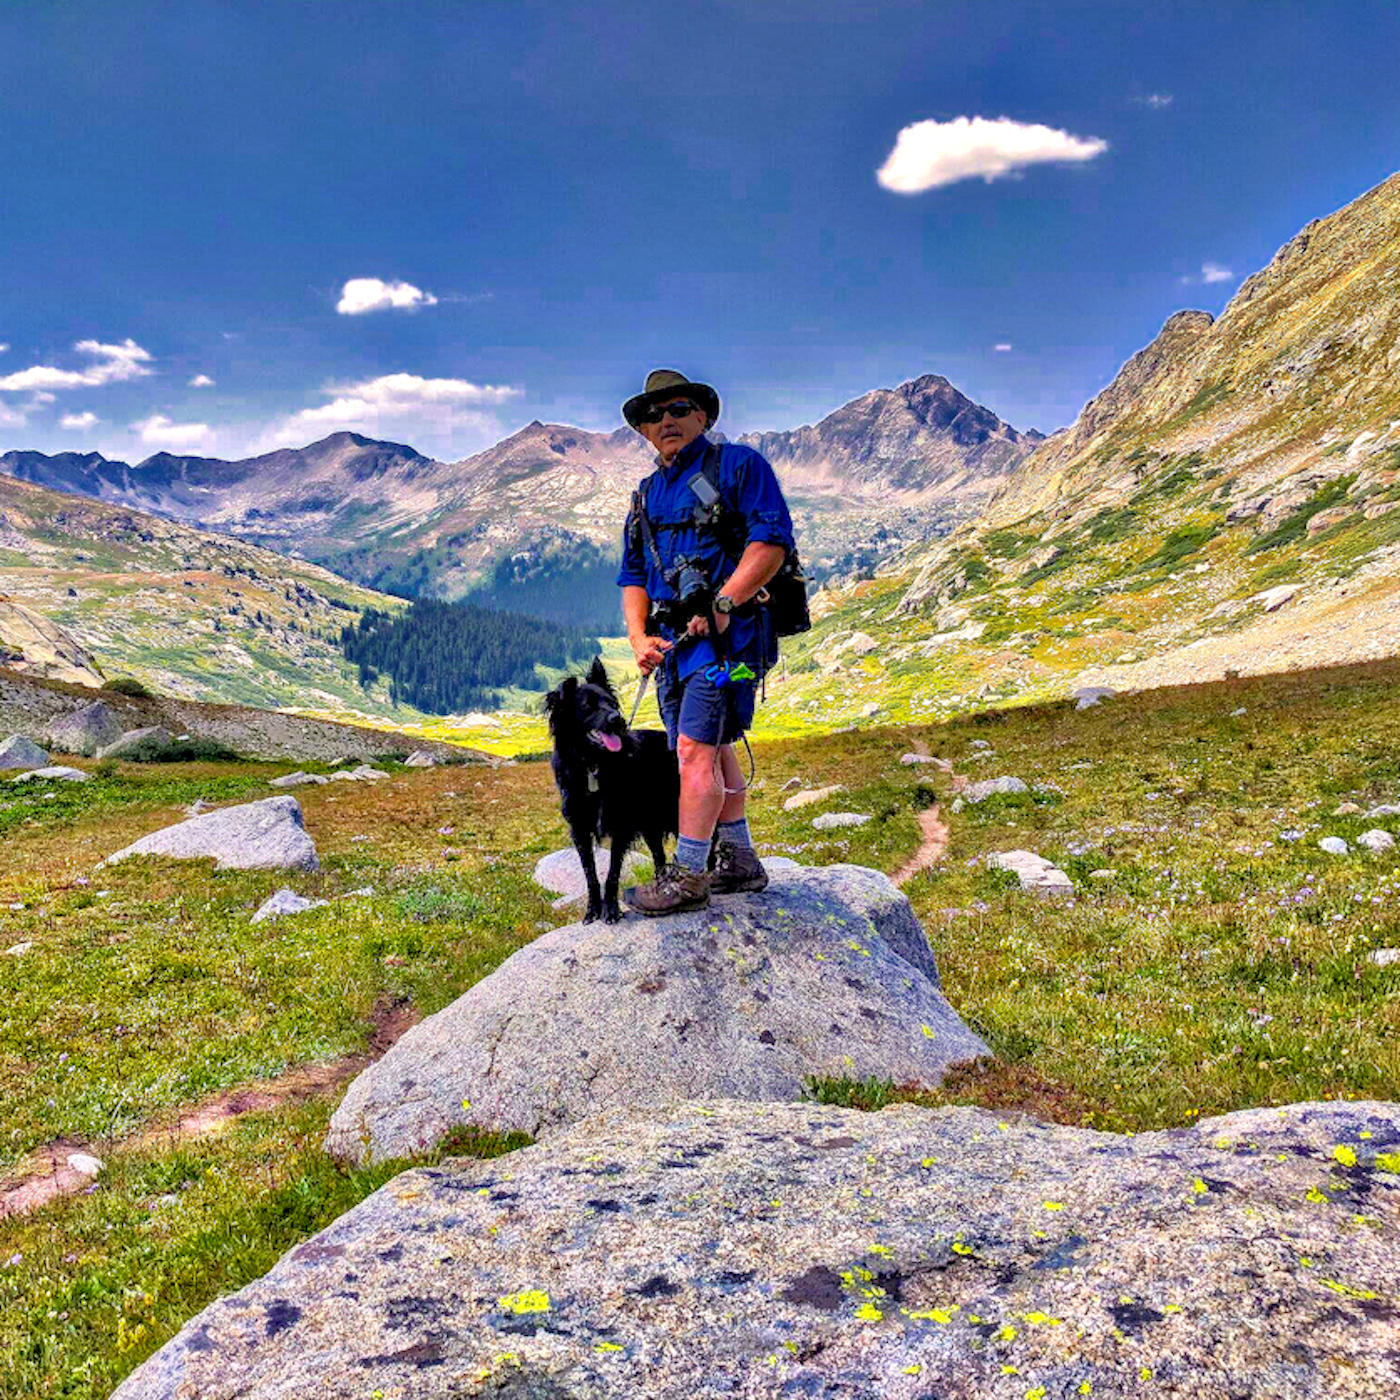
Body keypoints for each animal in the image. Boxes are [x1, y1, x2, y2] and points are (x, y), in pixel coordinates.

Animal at [543, 652, 680, 918]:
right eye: (588, 706)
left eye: (612, 704)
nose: (618, 720)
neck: (593, 764)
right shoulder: (579, 829)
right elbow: (590, 874)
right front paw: (592, 910)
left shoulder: (621, 824)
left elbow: (613, 872)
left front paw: (611, 910)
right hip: (650, 825)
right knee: (659, 856)